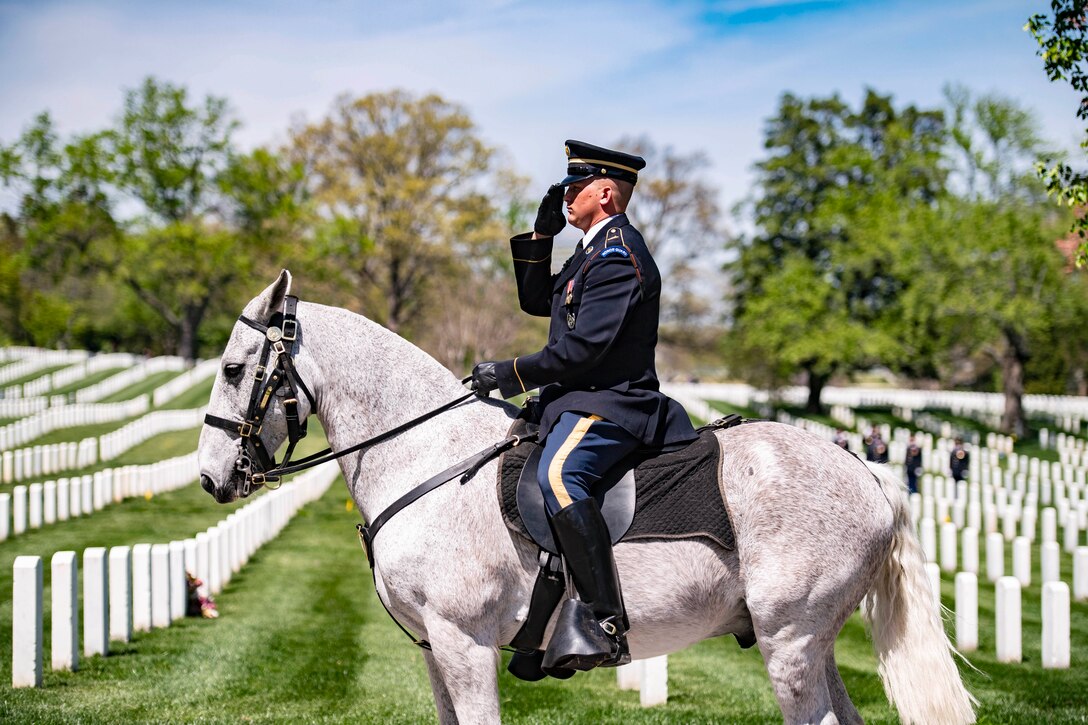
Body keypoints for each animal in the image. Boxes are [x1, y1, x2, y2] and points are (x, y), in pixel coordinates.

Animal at [198, 271, 979, 722]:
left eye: (235, 368)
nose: (211, 478)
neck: (428, 457)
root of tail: (868, 475)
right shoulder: (434, 651)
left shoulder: (464, 643)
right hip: (811, 646)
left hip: (790, 643)